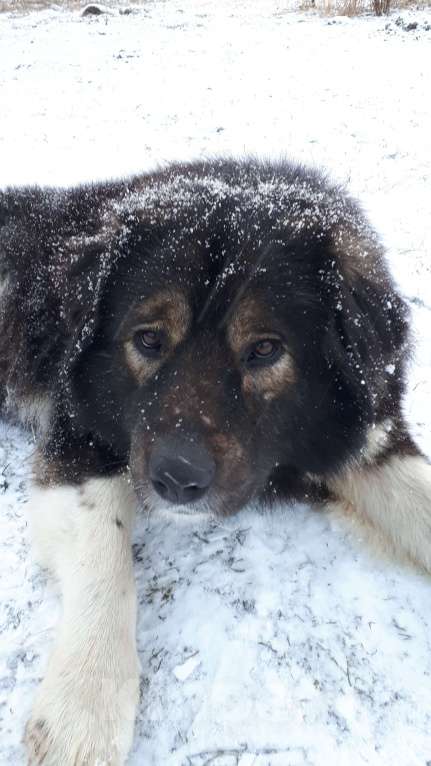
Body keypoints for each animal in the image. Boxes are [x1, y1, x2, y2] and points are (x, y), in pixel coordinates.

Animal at [0, 159, 431, 764]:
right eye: (148, 340)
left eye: (265, 349)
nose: (177, 480)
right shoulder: (76, 437)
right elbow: (105, 552)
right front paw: (85, 702)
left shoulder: (366, 437)